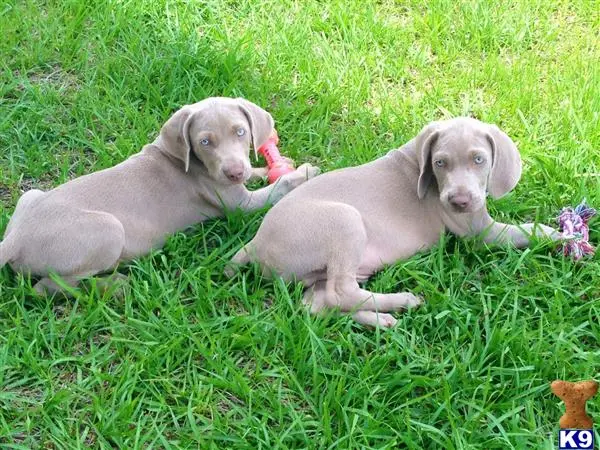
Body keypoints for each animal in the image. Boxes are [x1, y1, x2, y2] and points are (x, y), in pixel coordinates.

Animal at [0, 96, 318, 294]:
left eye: (240, 132)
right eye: (205, 142)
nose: (234, 173)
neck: (178, 157)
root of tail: (15, 240)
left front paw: (266, 168)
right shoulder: (237, 204)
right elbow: (275, 190)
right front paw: (302, 174)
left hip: (31, 197)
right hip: (108, 230)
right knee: (47, 287)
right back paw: (114, 286)